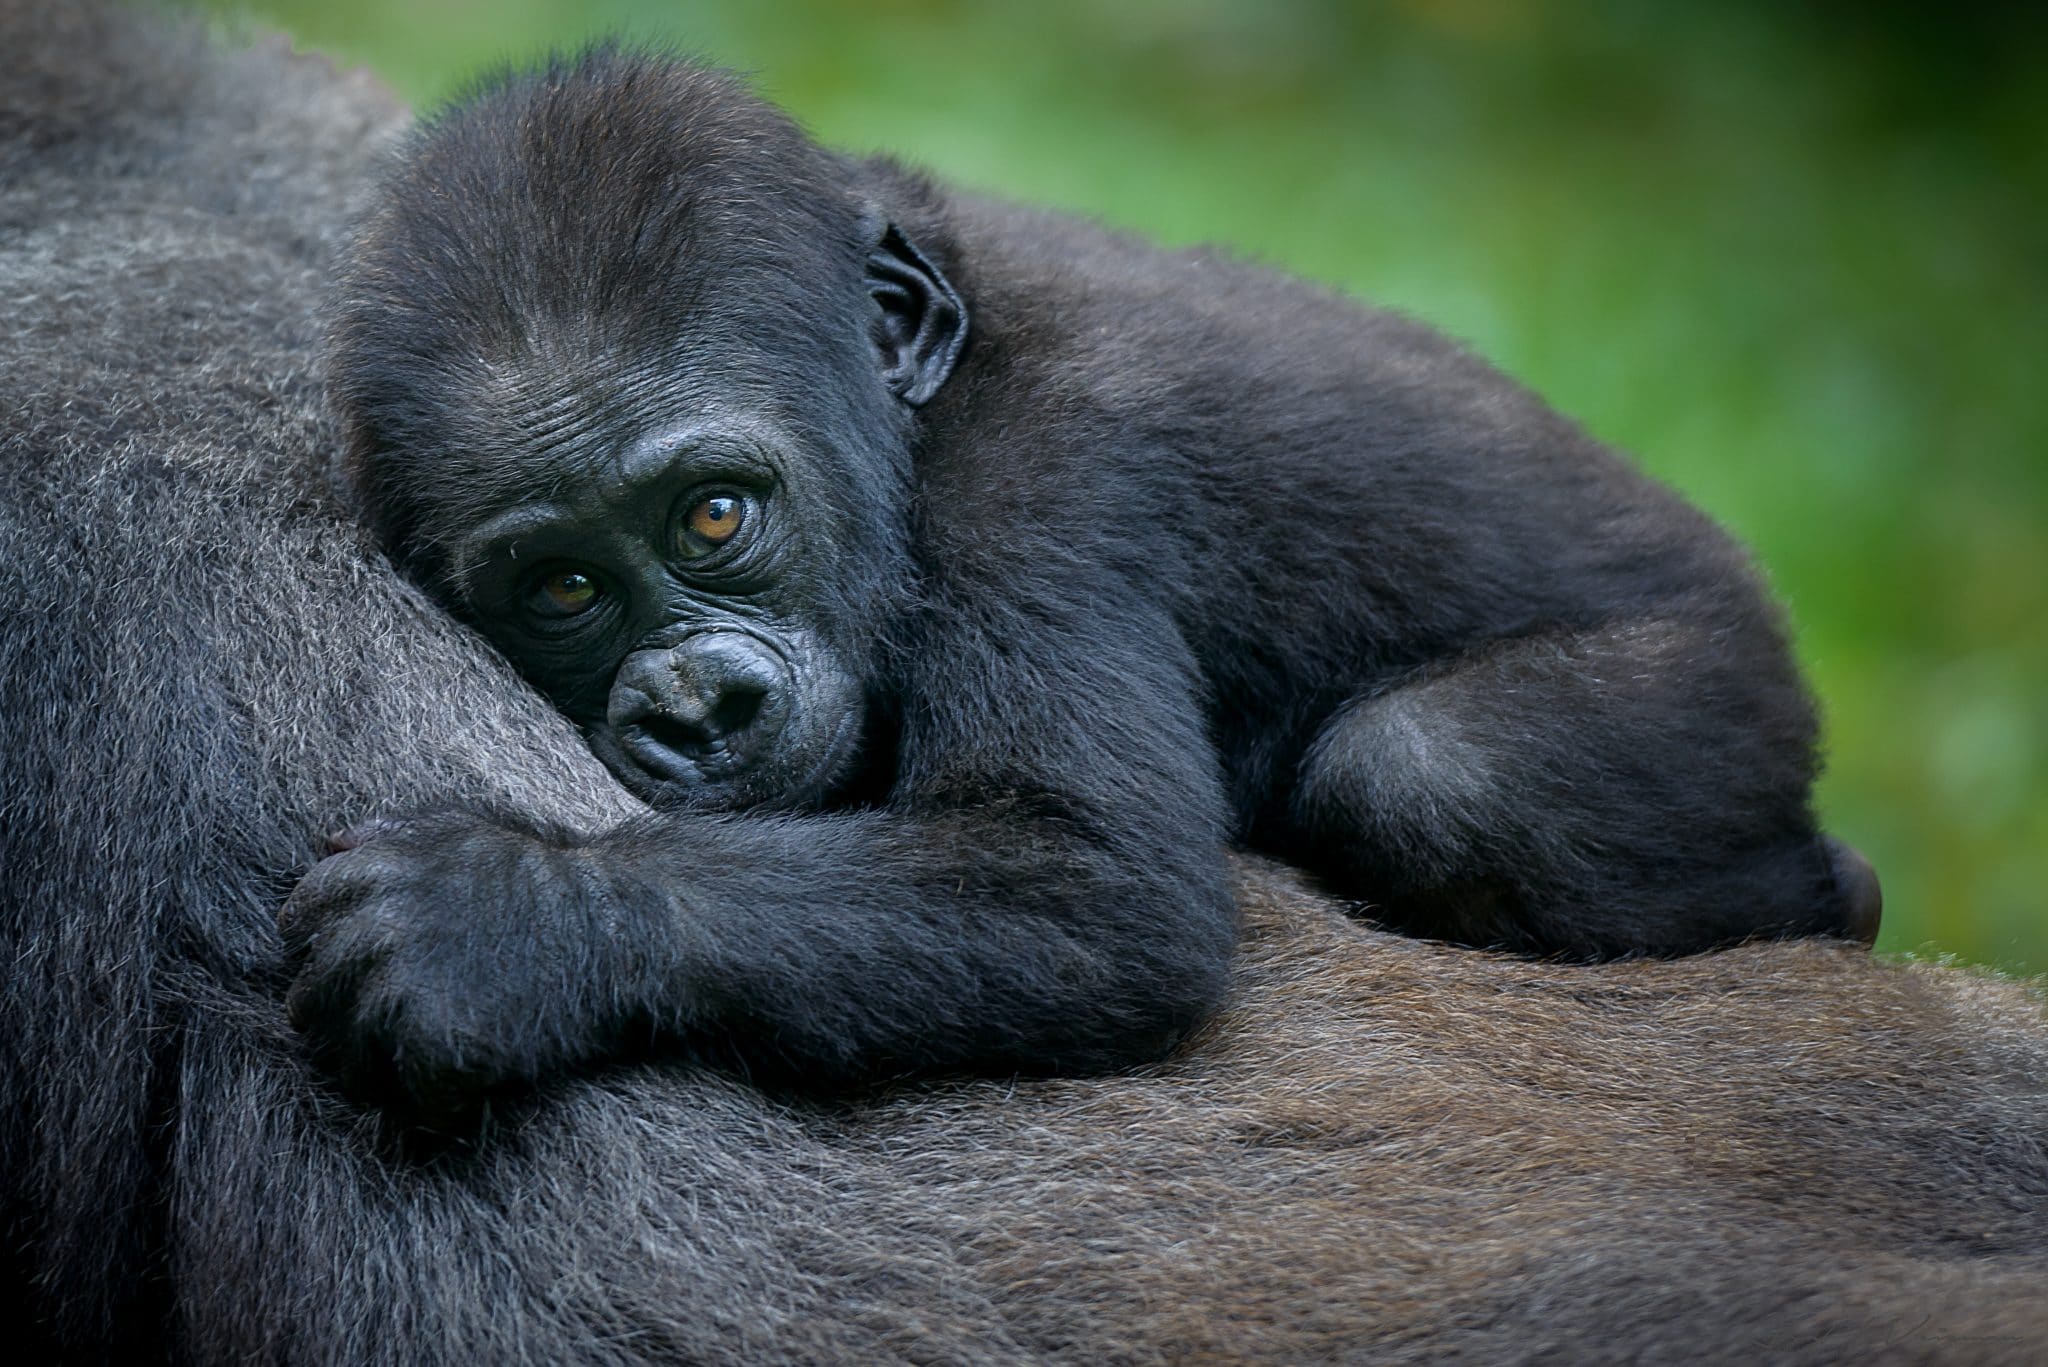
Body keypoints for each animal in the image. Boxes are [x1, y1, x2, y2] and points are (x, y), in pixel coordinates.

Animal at [284, 48, 1875, 1131]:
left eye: (714, 512)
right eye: (560, 588)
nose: (694, 705)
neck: (918, 395)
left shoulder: (1044, 486)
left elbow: (1100, 891)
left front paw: (517, 918)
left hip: (1724, 682)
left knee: (1435, 774)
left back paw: (1836, 896)